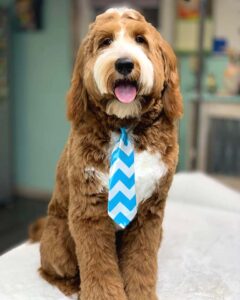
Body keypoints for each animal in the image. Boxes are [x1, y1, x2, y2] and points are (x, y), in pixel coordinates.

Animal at [38, 7, 183, 300]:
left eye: (140, 40)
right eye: (105, 42)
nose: (124, 63)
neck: (125, 125)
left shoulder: (150, 213)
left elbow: (141, 262)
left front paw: (141, 294)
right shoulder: (89, 210)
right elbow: (99, 266)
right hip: (58, 241)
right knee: (50, 270)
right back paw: (72, 287)